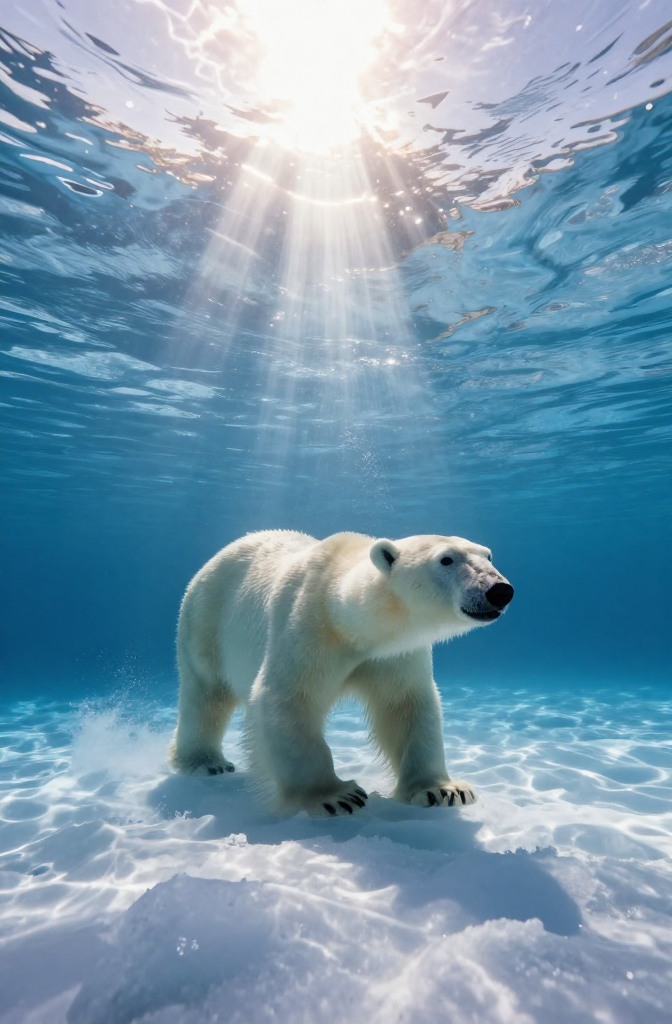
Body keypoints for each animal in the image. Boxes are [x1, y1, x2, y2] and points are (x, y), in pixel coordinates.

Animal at [168, 531, 513, 816]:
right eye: (446, 559)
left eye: (488, 555)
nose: (500, 590)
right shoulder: (307, 629)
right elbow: (289, 699)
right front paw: (334, 796)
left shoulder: (395, 653)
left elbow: (406, 705)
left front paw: (442, 790)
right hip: (205, 622)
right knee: (205, 696)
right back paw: (205, 763)